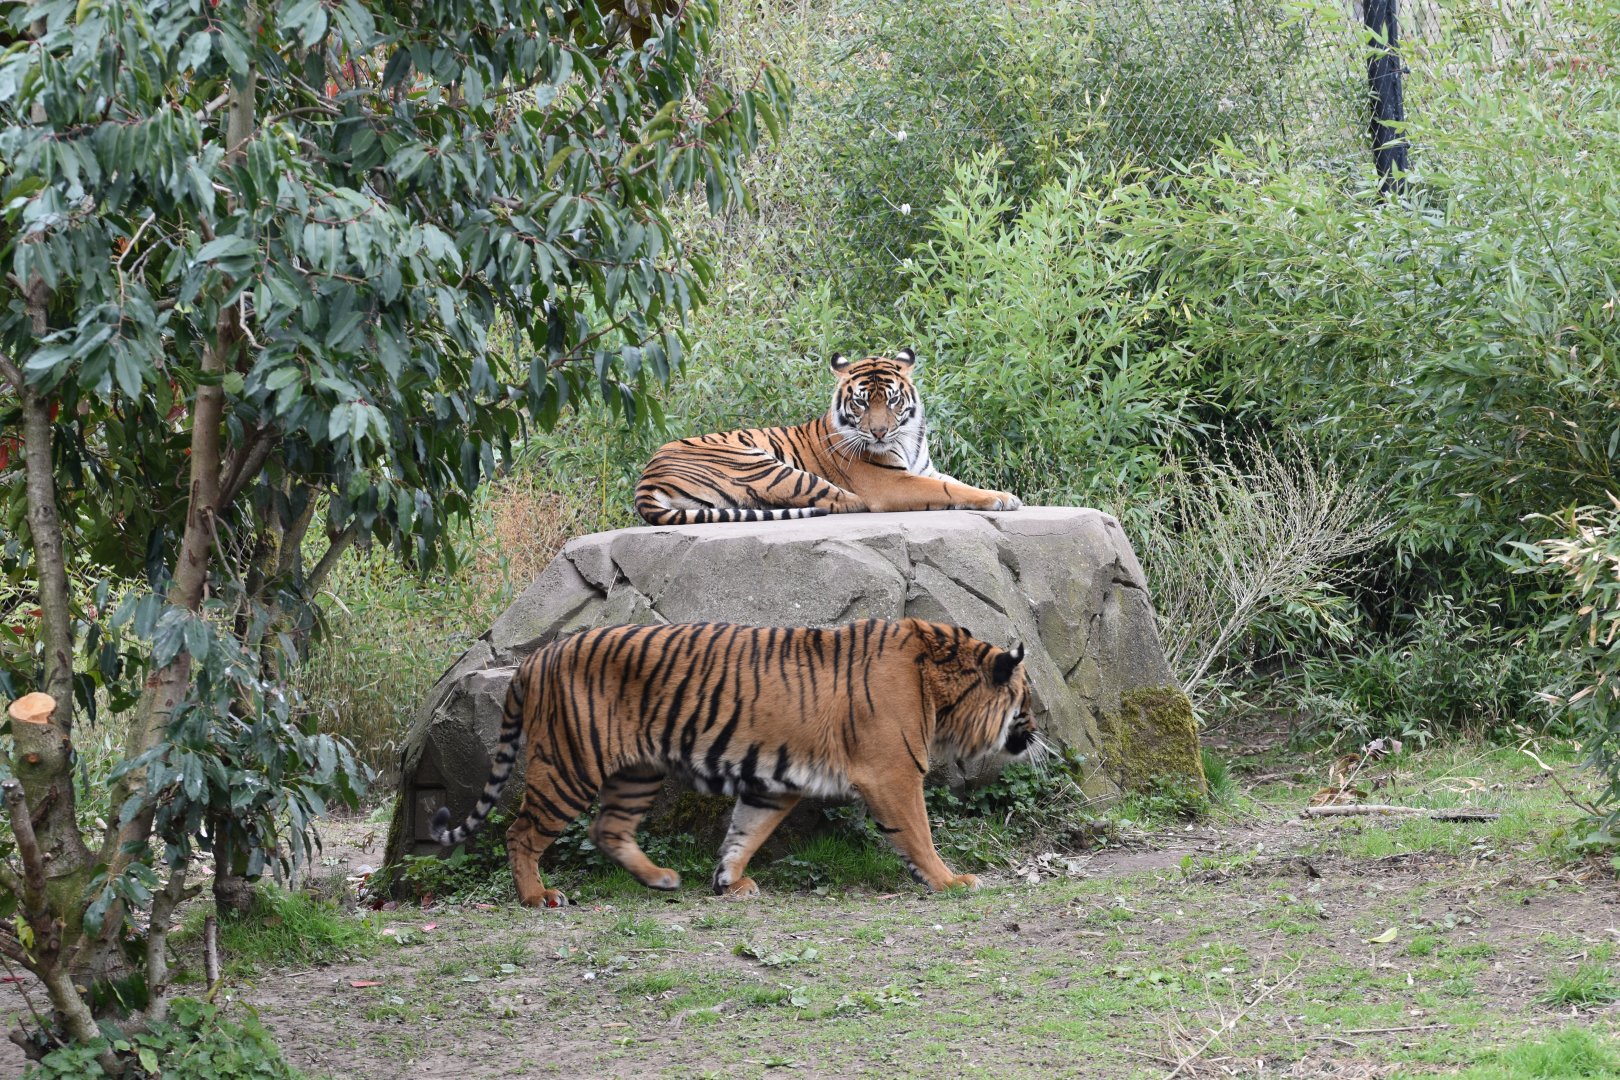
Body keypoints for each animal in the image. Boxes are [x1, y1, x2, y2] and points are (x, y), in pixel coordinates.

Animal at [429, 618, 1035, 907]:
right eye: (1025, 699)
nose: (1036, 733)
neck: (940, 690)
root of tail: (536, 658)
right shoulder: (893, 772)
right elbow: (919, 833)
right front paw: (951, 881)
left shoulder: (776, 783)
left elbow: (747, 831)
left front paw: (729, 881)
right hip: (570, 766)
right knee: (521, 833)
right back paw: (537, 896)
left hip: (637, 771)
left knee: (608, 829)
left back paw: (661, 879)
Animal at [634, 349, 1023, 525]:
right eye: (861, 402)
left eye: (892, 400)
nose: (879, 432)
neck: (907, 437)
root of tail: (647, 475)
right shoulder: (891, 482)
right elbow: (948, 490)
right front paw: (1001, 499)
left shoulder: (923, 469)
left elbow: (957, 482)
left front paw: (1001, 495)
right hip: (763, 466)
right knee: (840, 499)